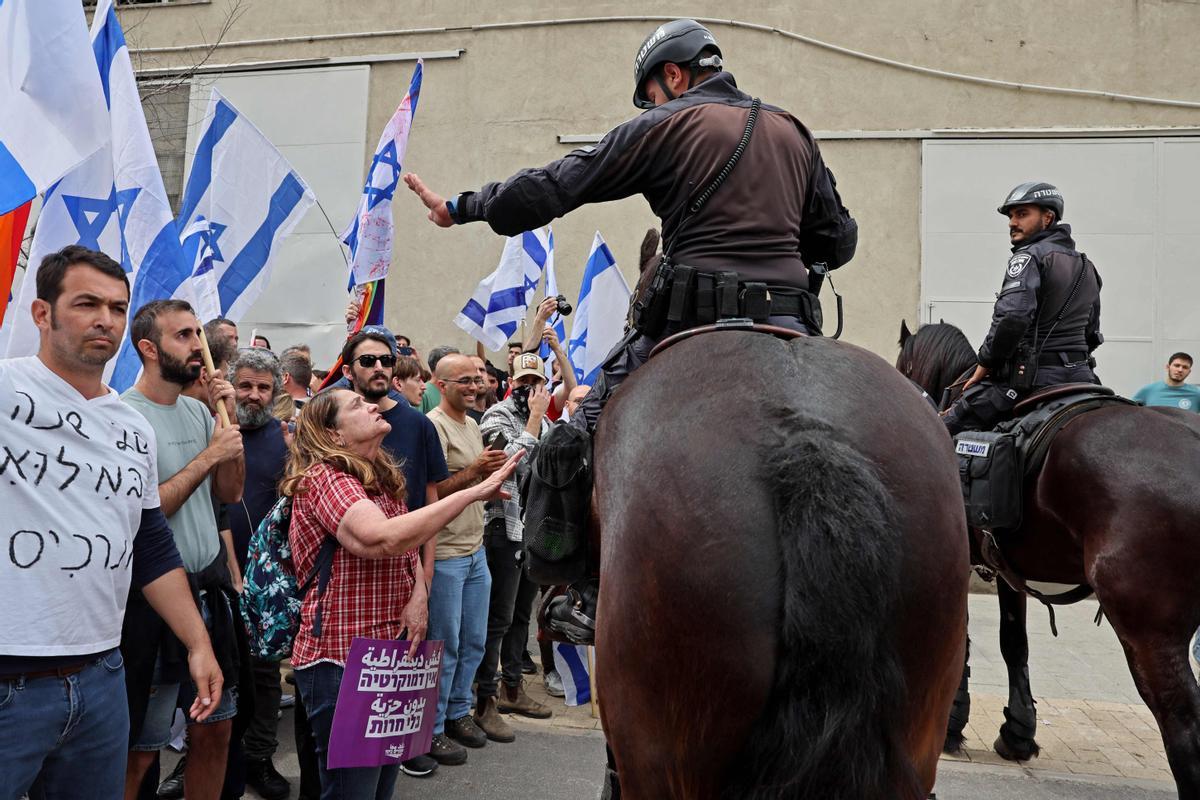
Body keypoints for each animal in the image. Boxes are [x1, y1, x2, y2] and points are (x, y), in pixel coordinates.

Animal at [897, 321, 1200, 796]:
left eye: (903, 363)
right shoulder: (1005, 567)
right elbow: (1013, 640)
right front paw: (1018, 732)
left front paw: (952, 724)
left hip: (1150, 632)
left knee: (1182, 723)